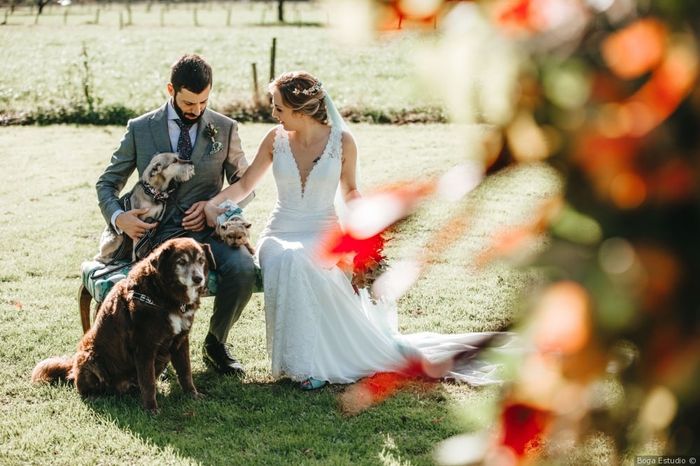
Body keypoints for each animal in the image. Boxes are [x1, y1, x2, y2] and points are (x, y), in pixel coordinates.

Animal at [30, 238, 216, 414]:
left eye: (201, 260)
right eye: (181, 261)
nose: (199, 279)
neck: (163, 296)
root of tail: (73, 366)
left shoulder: (180, 341)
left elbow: (185, 372)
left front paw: (192, 395)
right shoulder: (144, 347)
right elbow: (148, 382)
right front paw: (151, 409)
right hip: (89, 356)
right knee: (84, 387)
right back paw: (94, 396)